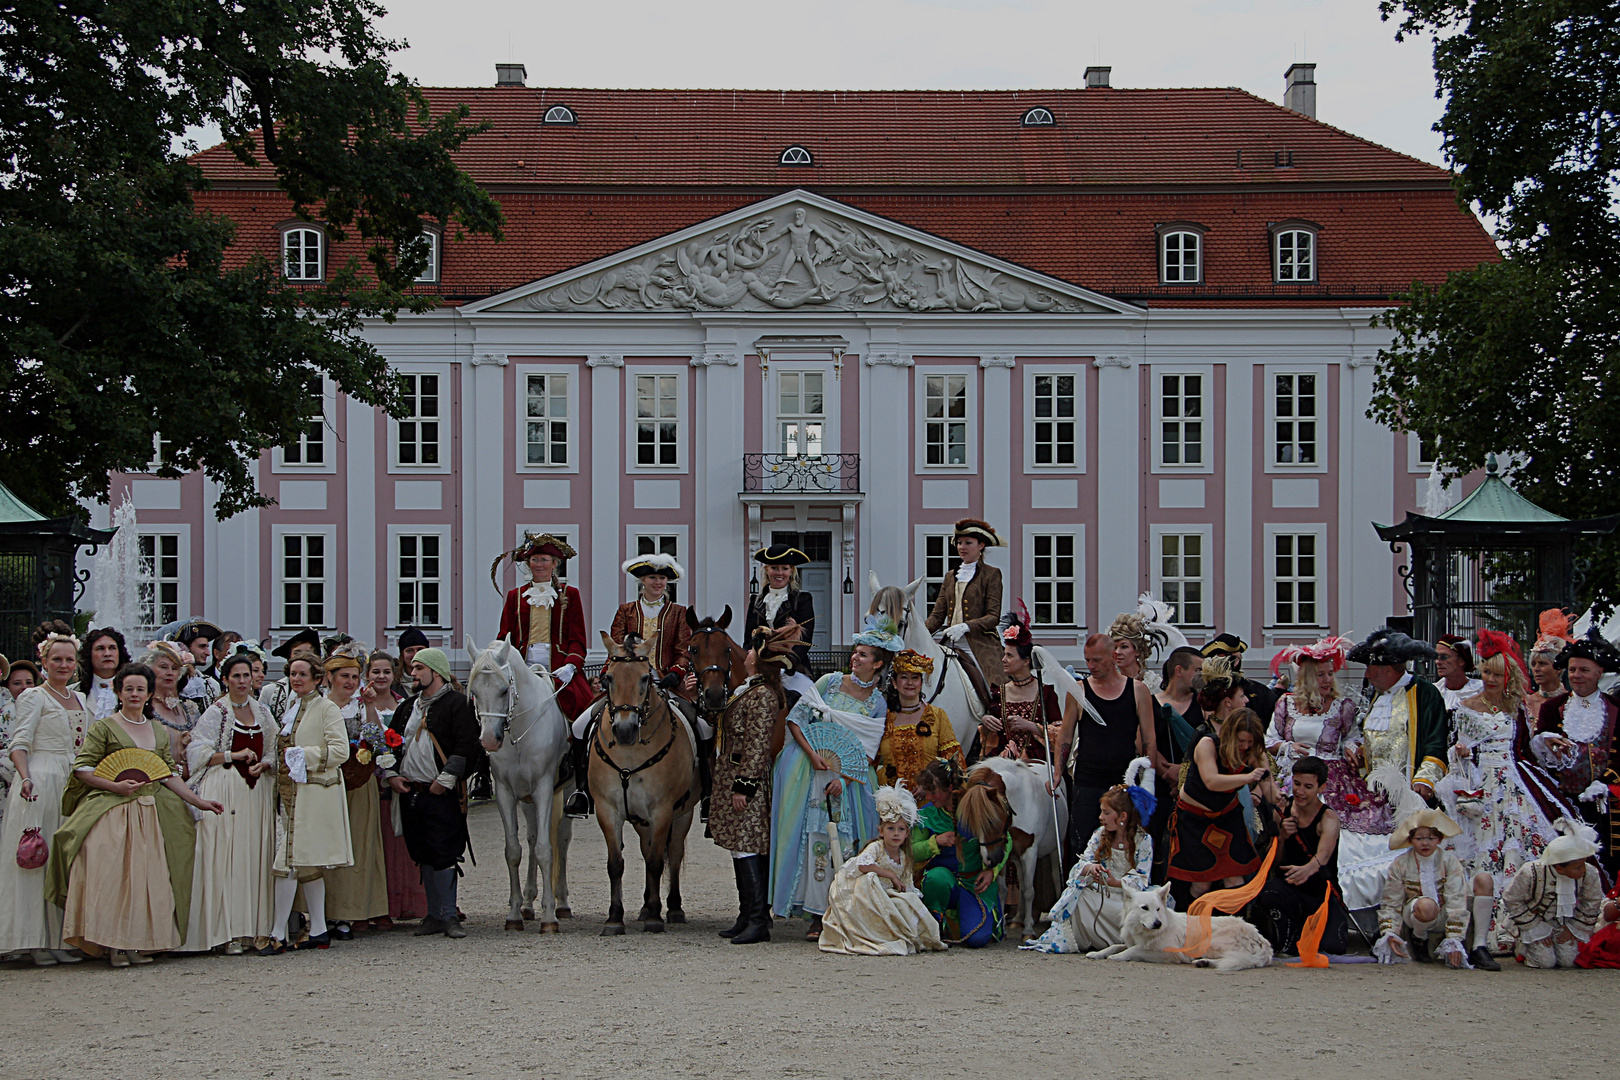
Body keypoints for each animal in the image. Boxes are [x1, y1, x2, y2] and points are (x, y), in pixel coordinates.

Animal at [466, 637, 573, 932]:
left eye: (504, 690)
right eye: (474, 692)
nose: (489, 740)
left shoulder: (544, 789)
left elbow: (546, 850)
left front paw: (549, 918)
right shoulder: (506, 793)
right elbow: (514, 850)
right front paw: (514, 913)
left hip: (566, 792)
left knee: (561, 839)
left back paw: (561, 903)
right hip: (527, 801)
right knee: (533, 836)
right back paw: (527, 903)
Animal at [592, 634, 699, 939]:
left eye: (644, 678)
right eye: (609, 678)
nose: (624, 730)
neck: (630, 753)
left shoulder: (662, 811)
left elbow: (655, 862)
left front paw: (654, 917)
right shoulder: (607, 810)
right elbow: (616, 864)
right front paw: (614, 918)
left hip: (682, 814)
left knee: (672, 854)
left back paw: (672, 908)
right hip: (641, 821)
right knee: (648, 848)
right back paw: (643, 906)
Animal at [965, 757, 1069, 939]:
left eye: (991, 820)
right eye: (973, 824)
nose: (989, 860)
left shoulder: (1029, 853)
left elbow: (1028, 891)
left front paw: (1028, 931)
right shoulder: (1005, 853)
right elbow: (1003, 890)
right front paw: (1002, 929)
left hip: (1056, 849)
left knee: (1056, 877)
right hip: (1017, 859)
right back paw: (1018, 918)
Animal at [1088, 880, 1276, 977]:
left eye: (1158, 909)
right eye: (1144, 908)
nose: (1158, 924)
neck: (1145, 932)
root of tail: (1262, 940)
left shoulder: (1169, 953)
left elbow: (1134, 950)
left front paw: (1118, 957)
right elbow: (1115, 945)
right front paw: (1097, 953)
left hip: (1211, 940)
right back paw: (1203, 962)